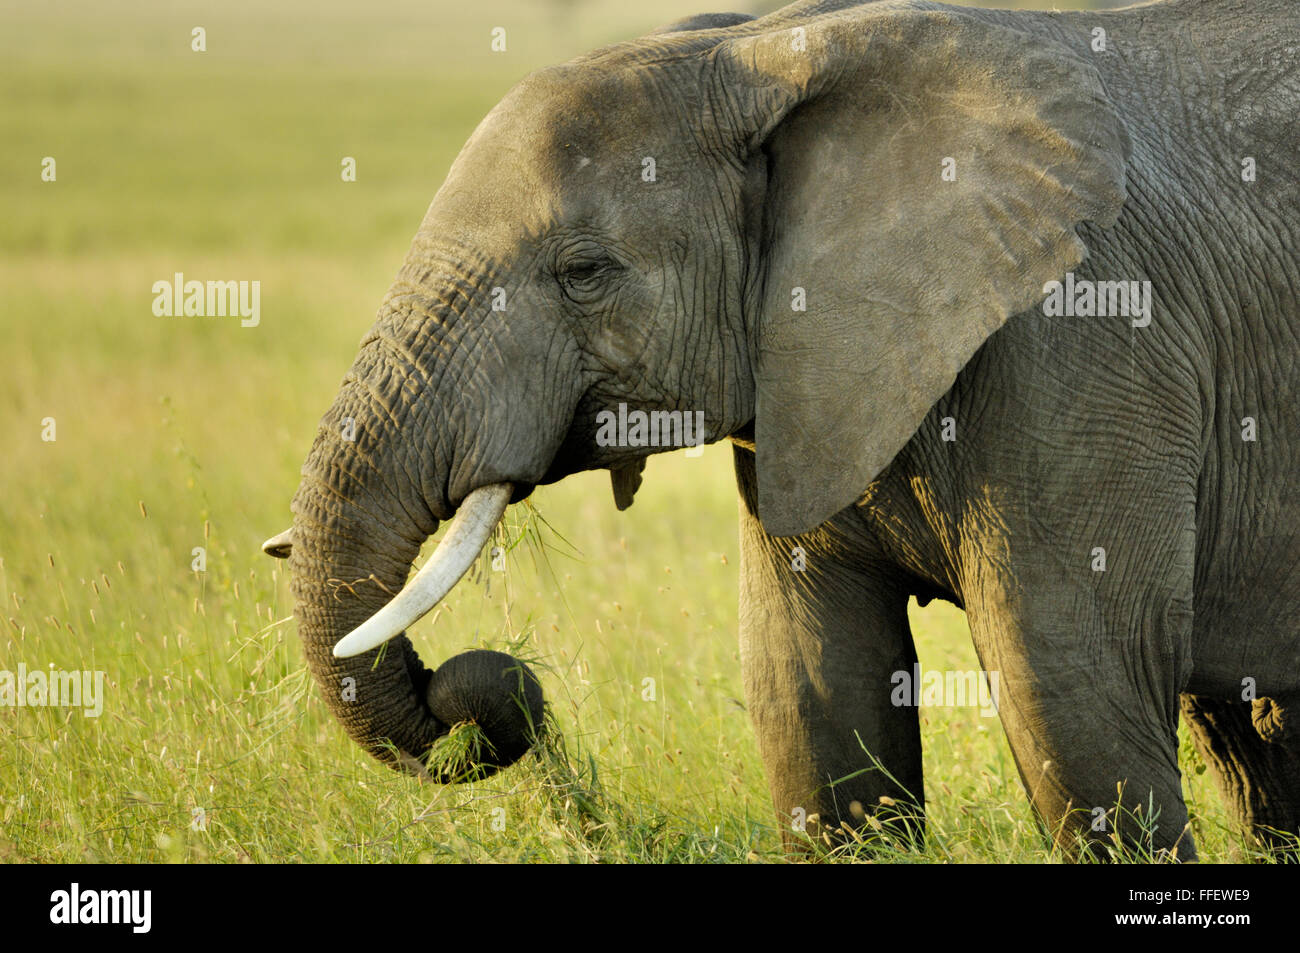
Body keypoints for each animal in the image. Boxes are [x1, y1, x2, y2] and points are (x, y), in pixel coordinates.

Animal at [261, 0, 1300, 863]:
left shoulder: (1088, 344)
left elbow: (1071, 687)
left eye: (583, 271)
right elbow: (811, 691)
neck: (764, 48)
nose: (480, 689)